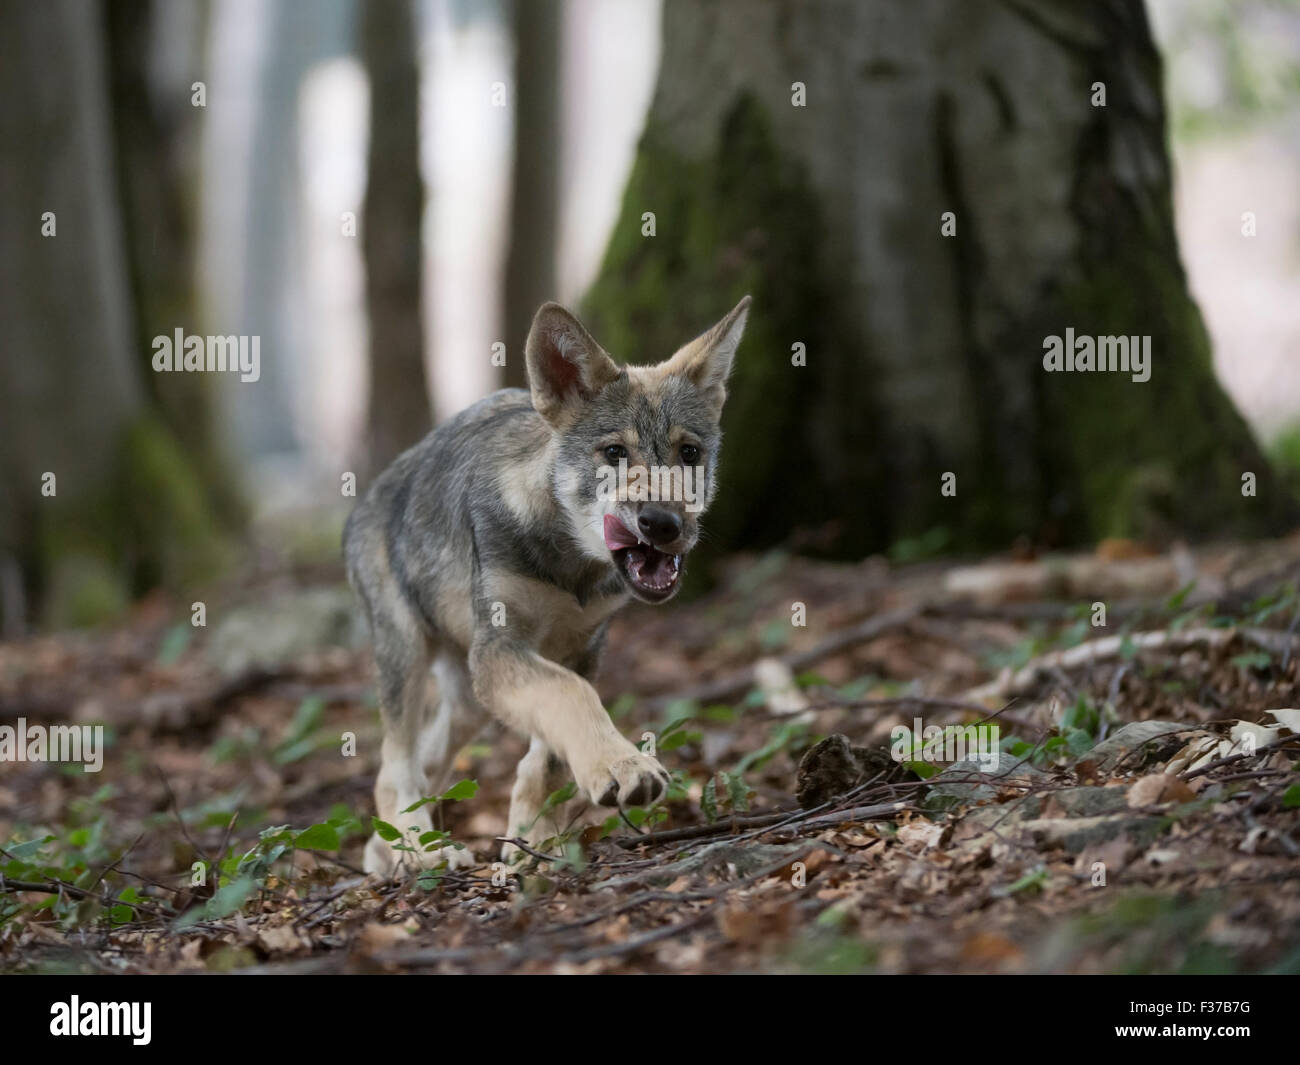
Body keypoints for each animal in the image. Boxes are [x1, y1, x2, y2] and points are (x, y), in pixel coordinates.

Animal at [344, 296, 751, 874]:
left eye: (688, 454)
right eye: (615, 453)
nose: (663, 525)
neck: (571, 565)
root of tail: (367, 497)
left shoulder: (579, 649)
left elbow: (549, 755)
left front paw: (533, 841)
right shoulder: (502, 650)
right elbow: (571, 699)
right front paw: (624, 766)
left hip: (469, 697)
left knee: (425, 761)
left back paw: (388, 851)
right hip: (410, 656)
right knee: (392, 766)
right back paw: (422, 851)